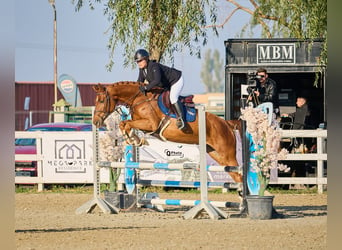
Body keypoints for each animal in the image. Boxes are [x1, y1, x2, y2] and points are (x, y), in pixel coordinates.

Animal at [93, 81, 243, 183]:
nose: (95, 122)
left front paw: (134, 139)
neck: (139, 99)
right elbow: (124, 124)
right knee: (236, 175)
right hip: (216, 154)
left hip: (227, 154)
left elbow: (126, 124)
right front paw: (136, 140)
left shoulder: (151, 124)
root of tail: (226, 123)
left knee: (240, 174)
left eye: (101, 100)